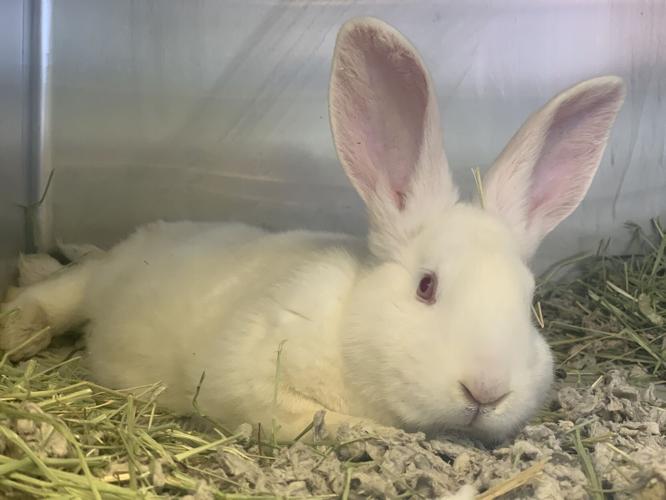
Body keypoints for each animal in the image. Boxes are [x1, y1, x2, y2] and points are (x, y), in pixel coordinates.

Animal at [1, 16, 624, 457]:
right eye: (426, 286)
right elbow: (310, 419)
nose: (486, 392)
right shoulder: (249, 374)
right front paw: (382, 438)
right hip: (100, 280)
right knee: (62, 291)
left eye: (529, 302)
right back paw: (18, 331)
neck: (349, 321)